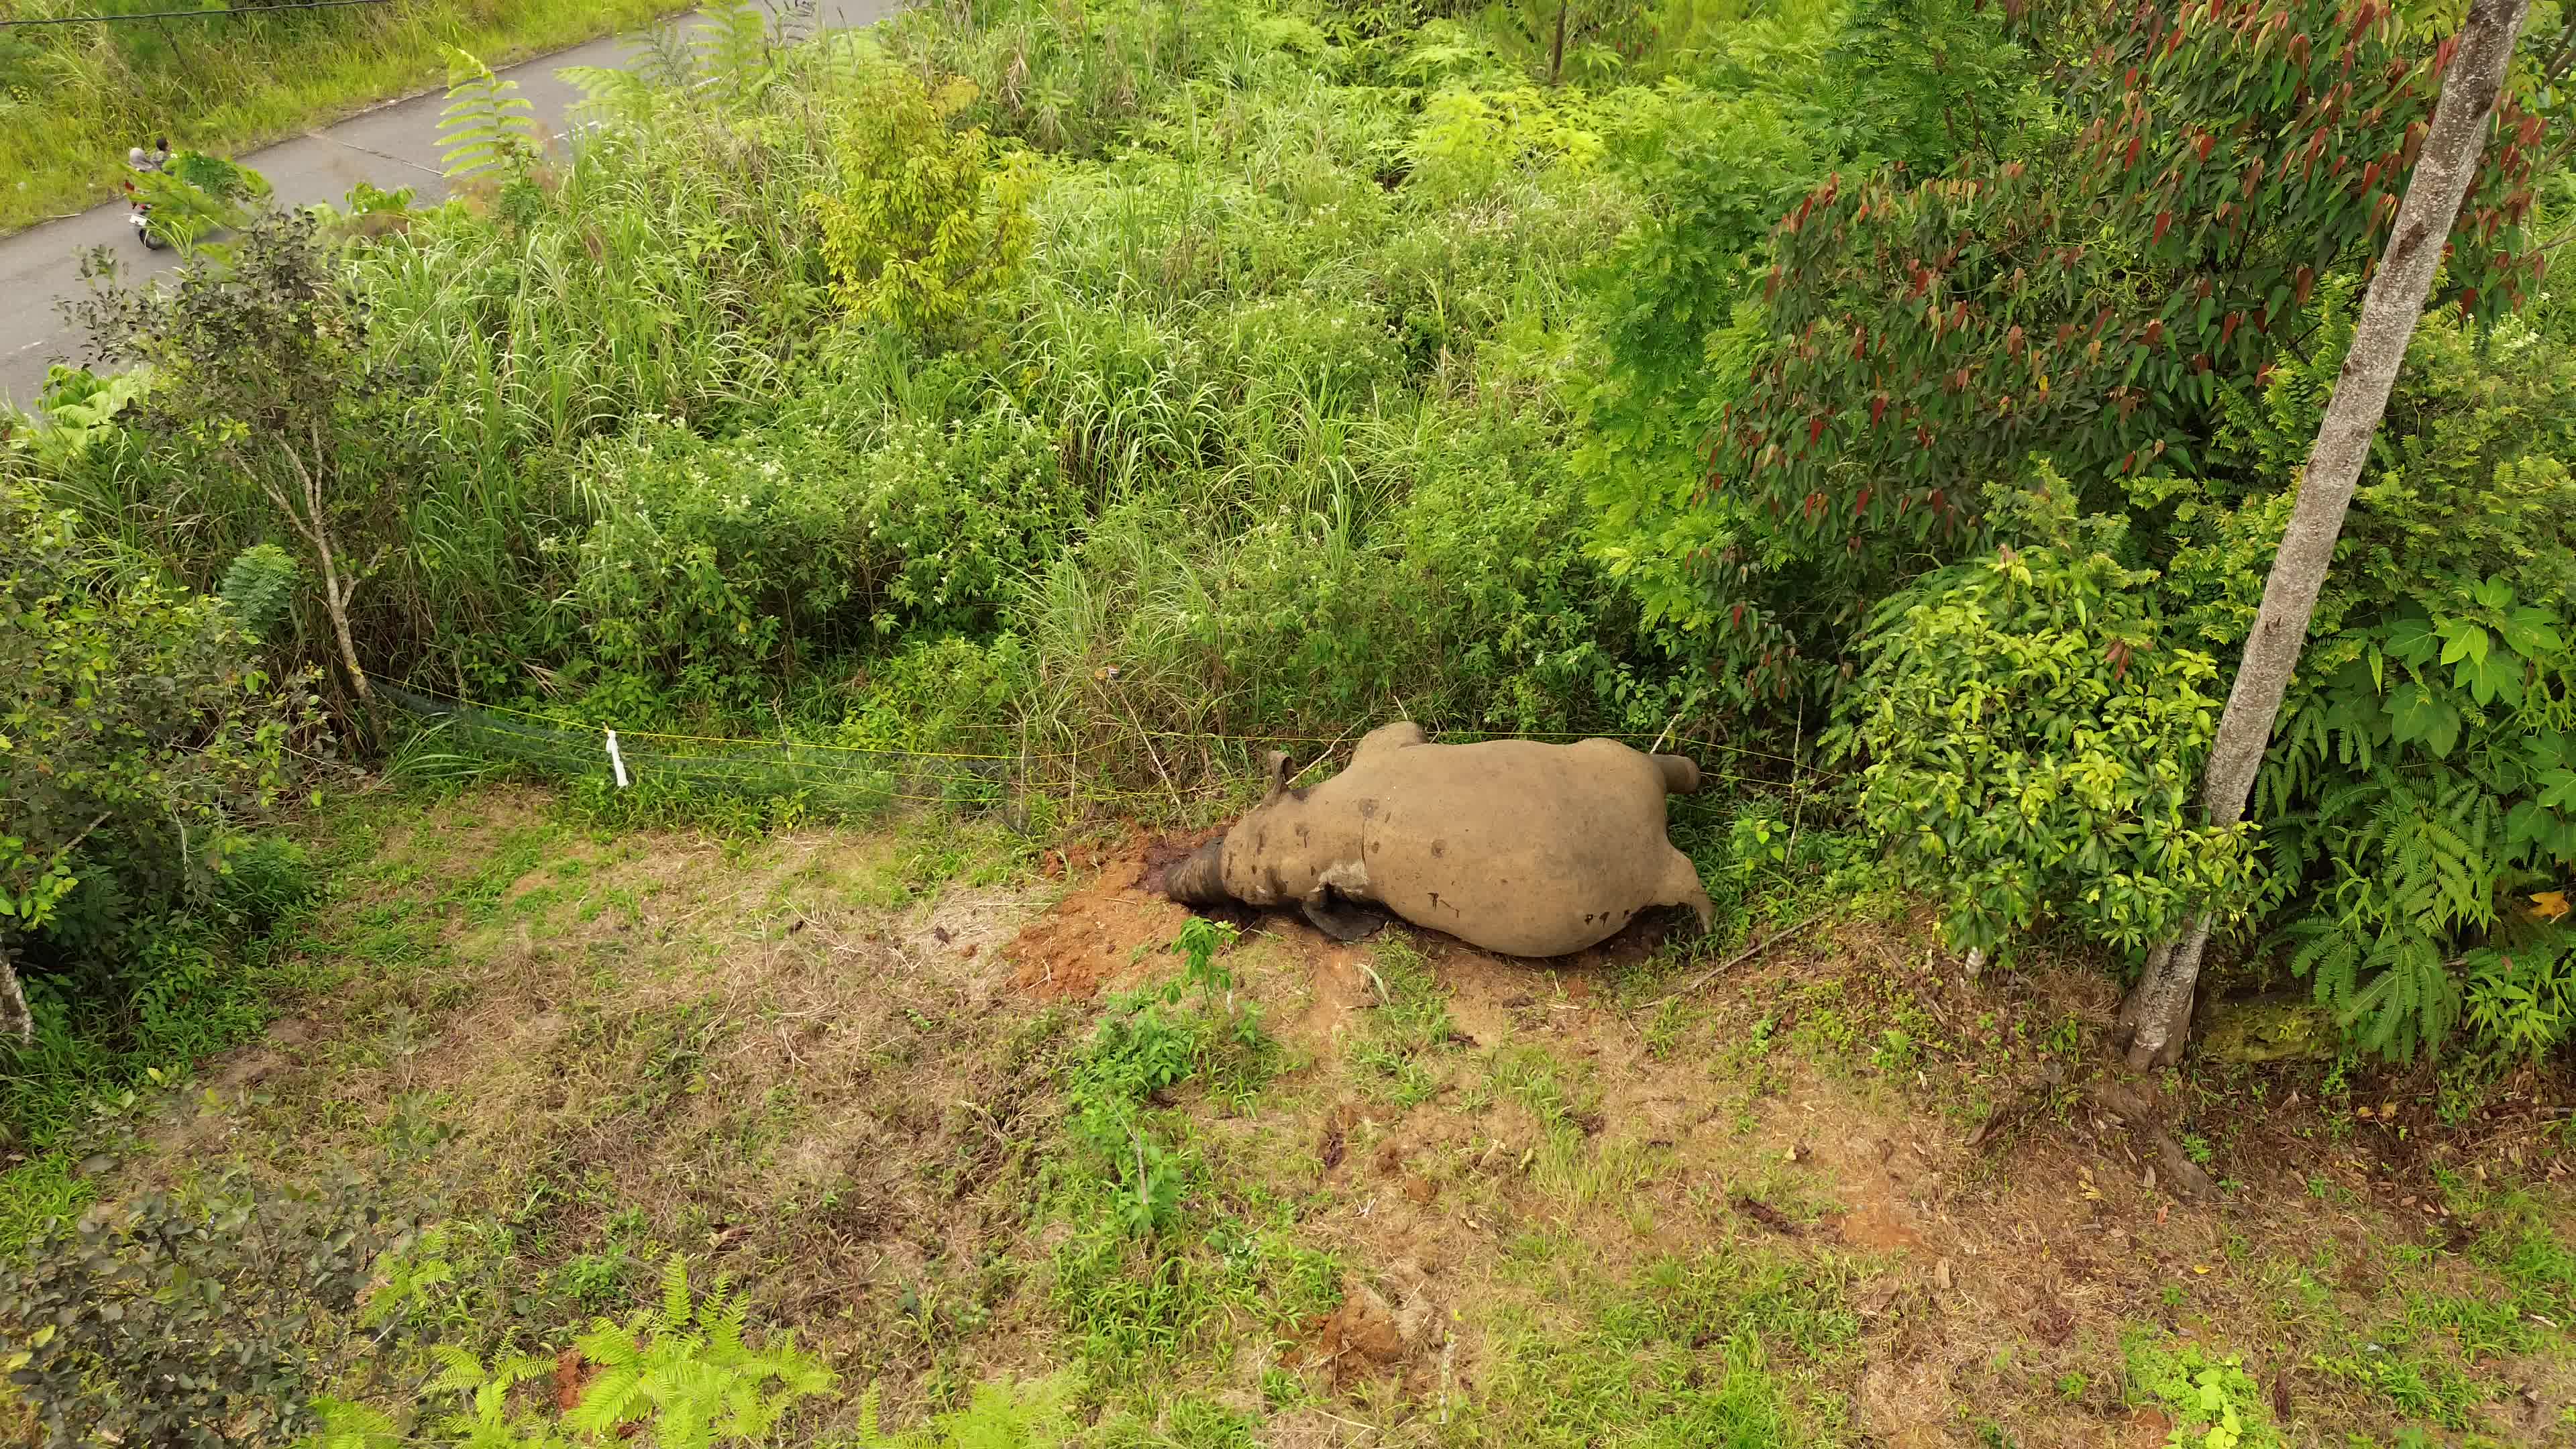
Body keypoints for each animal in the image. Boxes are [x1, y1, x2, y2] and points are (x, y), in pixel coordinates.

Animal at [1163, 721, 1715, 957]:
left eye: (1252, 892)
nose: (1174, 881)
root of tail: (1651, 802)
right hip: (1620, 763)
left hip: (1642, 845)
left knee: (1688, 880)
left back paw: (1708, 928)